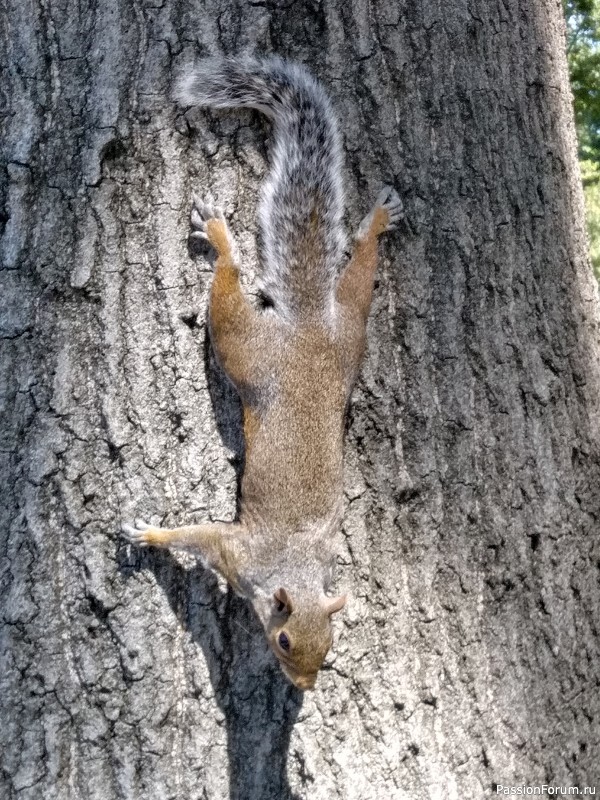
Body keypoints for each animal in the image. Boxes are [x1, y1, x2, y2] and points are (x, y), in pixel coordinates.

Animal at [122, 54, 400, 688]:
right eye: (283, 640)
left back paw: (375, 223)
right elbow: (195, 535)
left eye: (329, 648)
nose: (304, 686)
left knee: (357, 278)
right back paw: (221, 238)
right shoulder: (237, 552)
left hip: (351, 335)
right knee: (227, 288)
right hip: (244, 347)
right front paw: (152, 533)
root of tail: (308, 326)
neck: (292, 567)